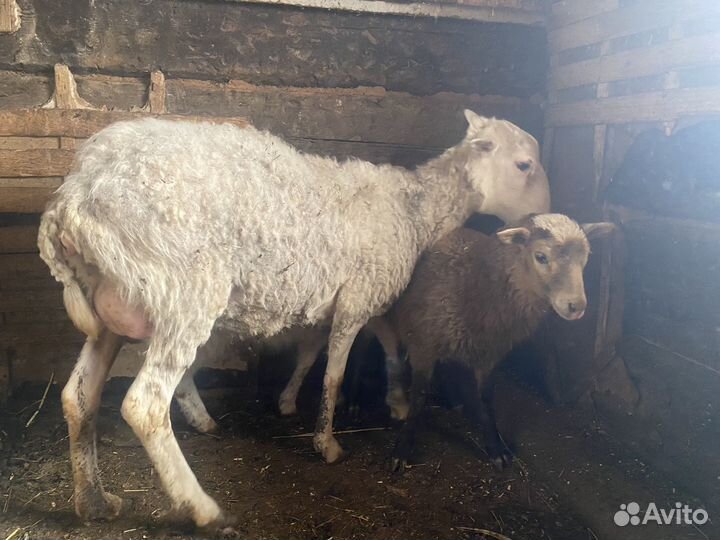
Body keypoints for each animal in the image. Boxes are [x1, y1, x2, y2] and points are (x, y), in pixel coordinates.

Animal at [37, 110, 548, 532]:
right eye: (524, 165)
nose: (541, 217)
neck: (413, 209)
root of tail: (73, 198)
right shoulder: (357, 300)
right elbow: (334, 374)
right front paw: (327, 443)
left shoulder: (363, 299)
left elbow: (368, 347)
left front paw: (392, 400)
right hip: (183, 292)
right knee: (144, 405)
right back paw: (205, 510)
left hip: (113, 311)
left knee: (77, 396)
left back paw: (94, 501)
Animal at [377, 214, 614, 472]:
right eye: (541, 256)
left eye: (585, 259)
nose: (576, 306)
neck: (473, 282)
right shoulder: (423, 347)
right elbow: (419, 398)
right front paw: (403, 448)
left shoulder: (489, 355)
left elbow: (486, 400)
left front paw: (496, 447)